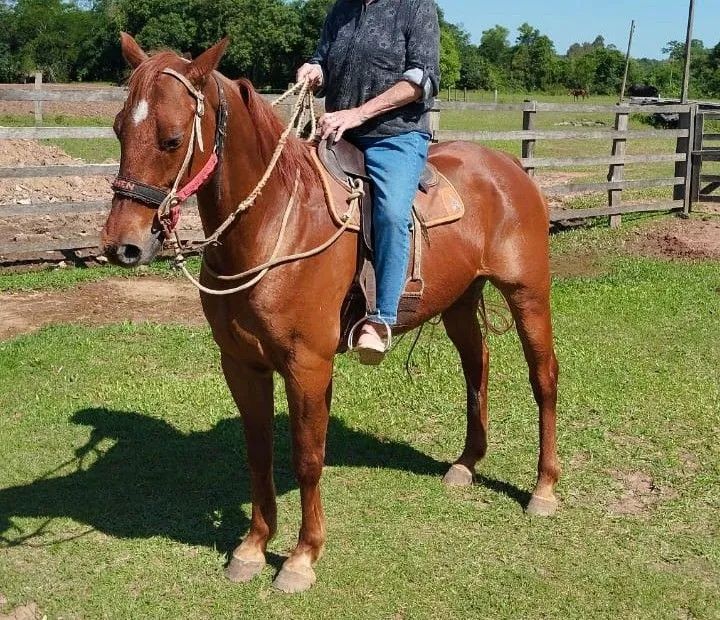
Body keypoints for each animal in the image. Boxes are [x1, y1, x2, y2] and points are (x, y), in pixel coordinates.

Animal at [102, 34, 560, 593]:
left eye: (170, 139)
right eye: (119, 128)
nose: (122, 245)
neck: (275, 223)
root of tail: (508, 166)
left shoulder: (308, 365)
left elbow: (307, 457)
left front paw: (301, 557)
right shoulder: (242, 364)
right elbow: (258, 453)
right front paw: (253, 547)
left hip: (528, 294)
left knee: (543, 378)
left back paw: (543, 489)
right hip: (458, 302)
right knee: (478, 368)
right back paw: (466, 464)